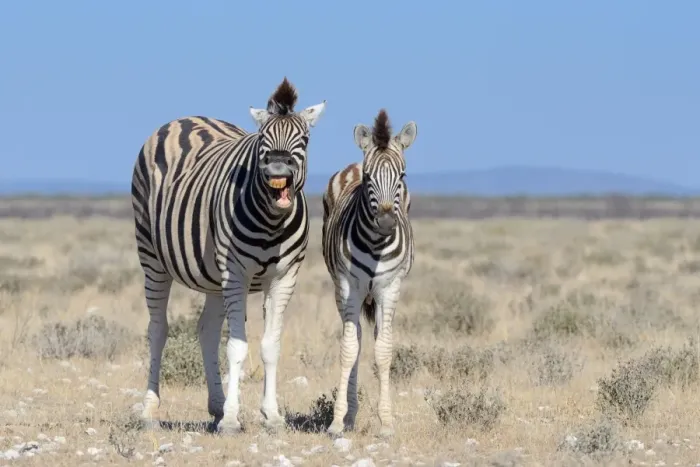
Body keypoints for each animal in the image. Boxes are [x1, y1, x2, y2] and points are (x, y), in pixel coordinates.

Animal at [130, 78, 326, 434]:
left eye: (303, 141)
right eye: (263, 141)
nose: (278, 168)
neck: (271, 223)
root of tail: (184, 118)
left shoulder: (284, 277)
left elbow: (270, 346)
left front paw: (270, 415)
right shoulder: (236, 273)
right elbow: (236, 346)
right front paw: (233, 419)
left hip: (212, 277)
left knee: (206, 330)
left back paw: (216, 405)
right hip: (152, 258)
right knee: (158, 330)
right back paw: (150, 409)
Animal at [321, 109, 417, 438]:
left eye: (402, 176)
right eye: (368, 177)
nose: (387, 222)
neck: (376, 244)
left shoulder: (390, 287)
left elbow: (384, 351)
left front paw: (386, 422)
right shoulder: (348, 286)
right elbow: (349, 349)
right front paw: (338, 420)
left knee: (374, 338)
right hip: (342, 291)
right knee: (358, 339)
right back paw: (350, 414)